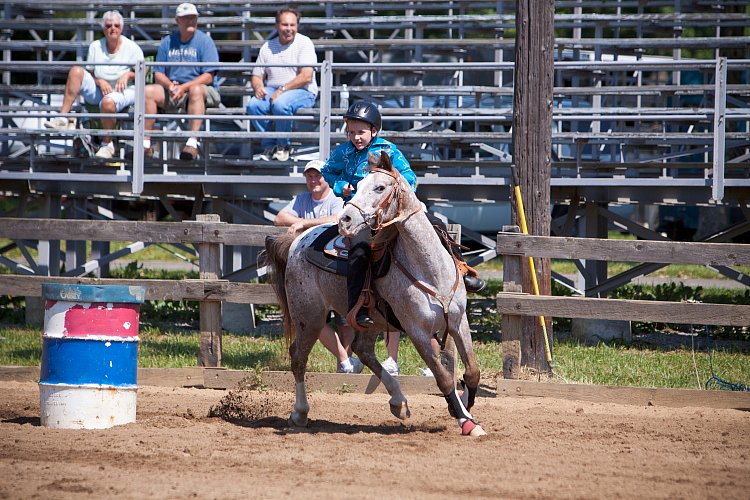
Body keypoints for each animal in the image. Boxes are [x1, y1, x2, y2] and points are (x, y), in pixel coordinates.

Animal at [268, 150, 490, 436]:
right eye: (358, 185)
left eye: (380, 187)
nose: (345, 220)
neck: (430, 269)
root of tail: (297, 240)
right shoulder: (417, 331)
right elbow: (443, 377)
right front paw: (466, 421)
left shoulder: (458, 321)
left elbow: (472, 372)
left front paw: (463, 409)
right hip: (310, 317)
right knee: (298, 357)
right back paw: (300, 413)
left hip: (369, 319)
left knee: (363, 350)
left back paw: (398, 401)